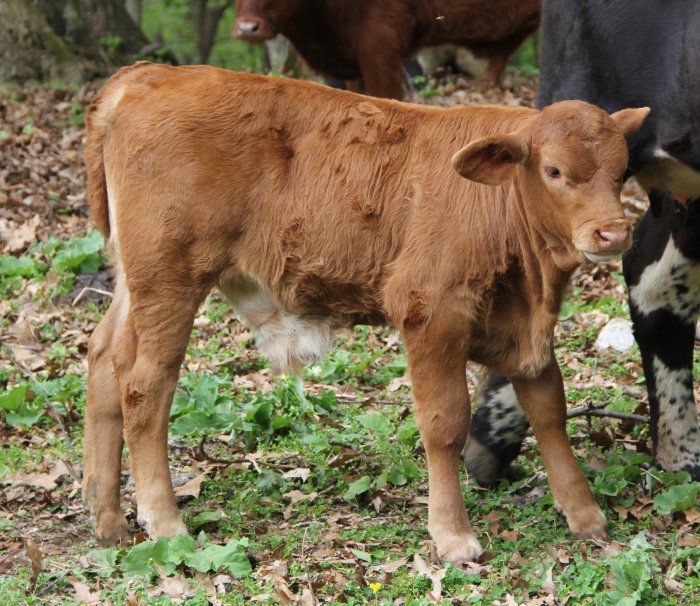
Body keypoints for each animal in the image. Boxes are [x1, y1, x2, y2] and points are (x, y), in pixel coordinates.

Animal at [81, 61, 647, 563]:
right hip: (168, 279)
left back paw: (107, 517)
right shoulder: (431, 312)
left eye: (623, 171)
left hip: (136, 281)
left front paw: (584, 513)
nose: (614, 232)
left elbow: (549, 409)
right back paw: (164, 521)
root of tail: (147, 75)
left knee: (104, 357)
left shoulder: (524, 328)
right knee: (145, 386)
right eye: (553, 170)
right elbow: (444, 421)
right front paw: (452, 536)